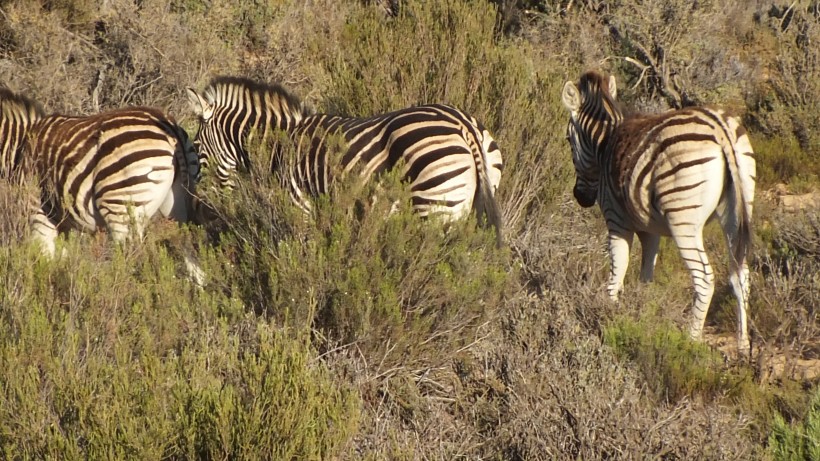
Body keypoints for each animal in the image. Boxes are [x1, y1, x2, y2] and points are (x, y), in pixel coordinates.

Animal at [0, 86, 205, 280]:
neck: (18, 147)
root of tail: (167, 124)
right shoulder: (63, 224)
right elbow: (61, 264)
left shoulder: (38, 214)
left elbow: (44, 267)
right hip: (176, 210)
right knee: (193, 261)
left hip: (121, 209)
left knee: (136, 263)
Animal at [188, 76, 502, 244]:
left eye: (197, 147)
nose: (200, 210)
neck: (280, 143)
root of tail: (464, 125)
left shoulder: (299, 202)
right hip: (466, 203)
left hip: (433, 208)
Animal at [564, 70, 756, 354]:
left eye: (568, 140)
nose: (581, 198)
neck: (605, 144)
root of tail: (719, 126)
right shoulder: (649, 230)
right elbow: (646, 275)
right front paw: (642, 313)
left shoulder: (616, 220)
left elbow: (617, 271)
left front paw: (605, 315)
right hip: (738, 209)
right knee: (741, 275)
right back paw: (743, 346)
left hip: (683, 219)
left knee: (704, 279)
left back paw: (690, 342)